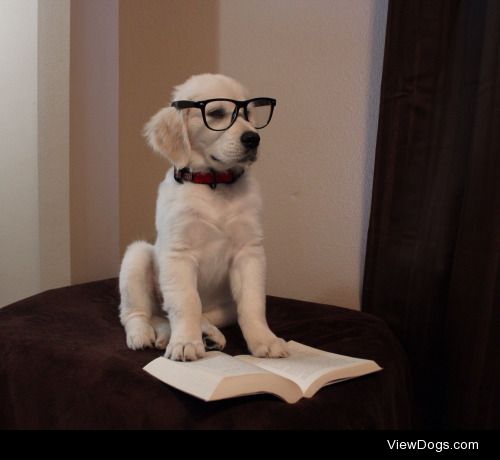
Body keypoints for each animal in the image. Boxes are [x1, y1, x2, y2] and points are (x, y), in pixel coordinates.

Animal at [118, 74, 290, 362]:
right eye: (217, 113)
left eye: (248, 113)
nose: (253, 139)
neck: (214, 183)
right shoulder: (178, 253)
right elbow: (186, 301)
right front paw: (185, 342)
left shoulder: (249, 252)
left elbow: (253, 303)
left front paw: (264, 340)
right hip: (137, 257)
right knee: (138, 313)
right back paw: (143, 335)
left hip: (225, 306)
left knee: (183, 313)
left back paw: (204, 333)